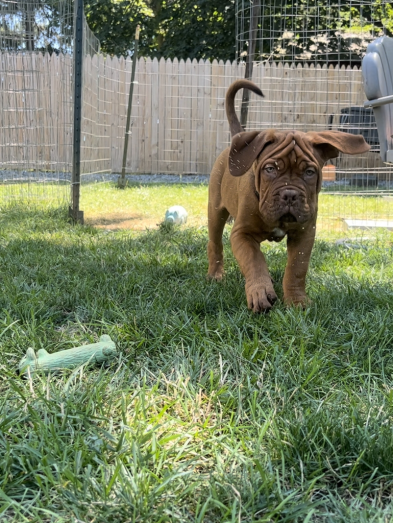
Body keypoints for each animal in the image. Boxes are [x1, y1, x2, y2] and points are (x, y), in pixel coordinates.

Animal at [207, 80, 370, 314]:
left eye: (309, 172)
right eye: (270, 169)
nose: (290, 195)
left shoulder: (304, 233)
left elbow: (296, 268)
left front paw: (296, 300)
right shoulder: (242, 234)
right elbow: (254, 261)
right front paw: (260, 292)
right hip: (216, 211)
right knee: (215, 244)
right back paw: (215, 274)